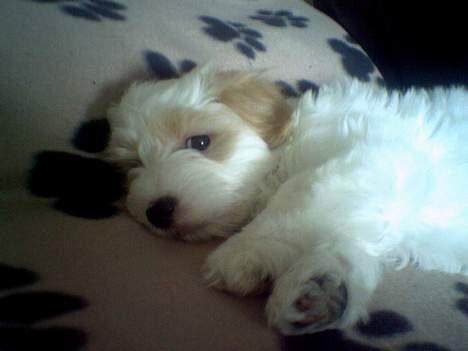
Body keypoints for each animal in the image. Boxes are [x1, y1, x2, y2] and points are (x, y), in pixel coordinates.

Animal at [106, 67, 468, 336]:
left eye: (200, 142)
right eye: (134, 164)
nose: (157, 211)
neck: (292, 144)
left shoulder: (374, 154)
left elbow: (300, 193)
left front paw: (244, 250)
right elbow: (352, 243)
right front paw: (324, 285)